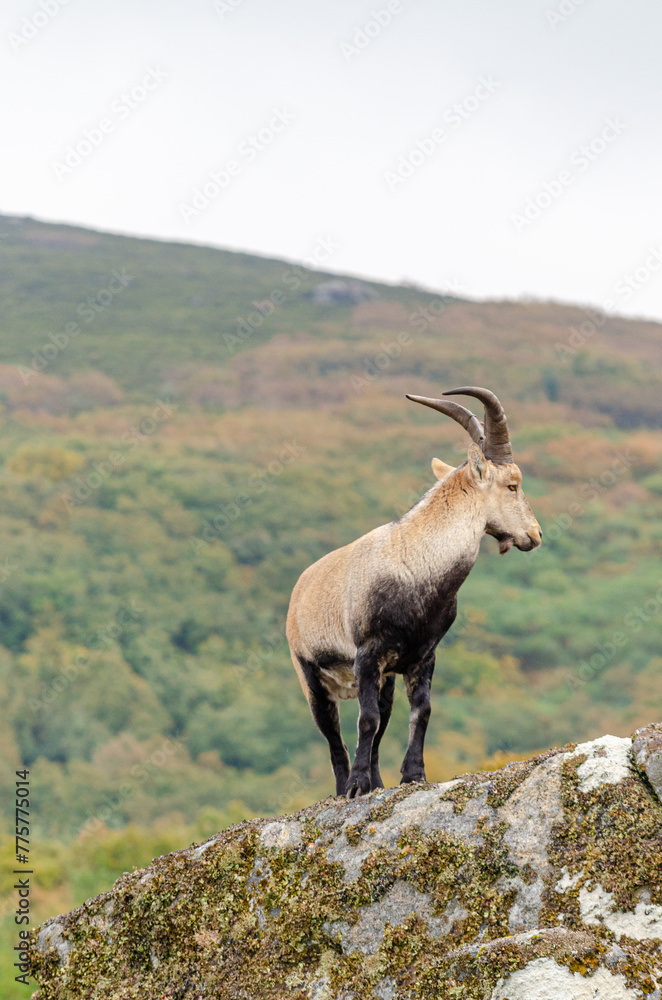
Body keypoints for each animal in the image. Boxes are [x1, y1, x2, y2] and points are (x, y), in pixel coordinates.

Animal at [286, 387, 542, 798]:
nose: (534, 534)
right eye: (513, 485)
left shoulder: (421, 656)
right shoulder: (367, 655)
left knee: (380, 724)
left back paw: (377, 783)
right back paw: (346, 787)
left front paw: (413, 775)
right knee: (333, 735)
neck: (417, 566)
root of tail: (299, 590)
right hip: (311, 676)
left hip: (385, 679)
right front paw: (357, 786)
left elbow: (420, 712)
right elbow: (366, 719)